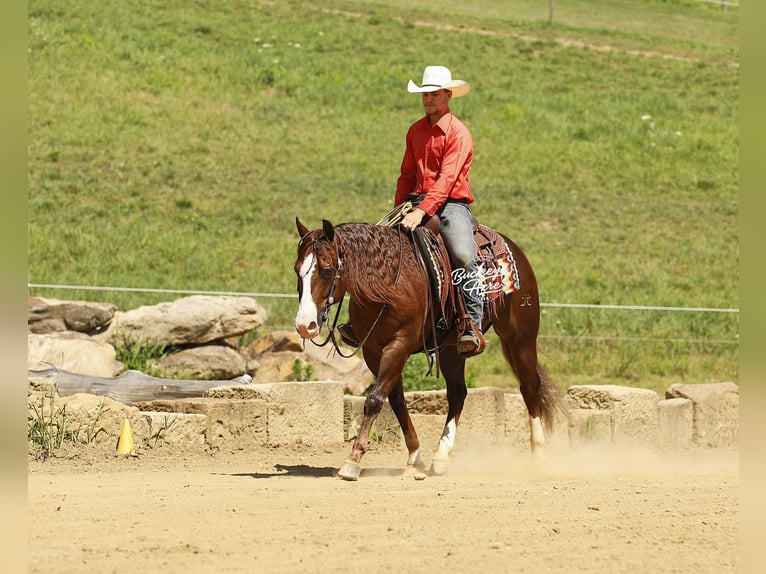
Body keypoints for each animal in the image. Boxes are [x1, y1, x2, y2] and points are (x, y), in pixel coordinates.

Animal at [294, 217, 564, 480]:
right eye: (297, 270)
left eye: (327, 270)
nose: (304, 325)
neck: (389, 282)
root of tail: (512, 248)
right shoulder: (373, 350)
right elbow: (396, 401)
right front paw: (415, 459)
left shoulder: (399, 344)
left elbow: (374, 399)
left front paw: (353, 460)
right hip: (452, 349)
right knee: (458, 393)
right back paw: (441, 457)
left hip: (521, 337)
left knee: (529, 386)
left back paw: (539, 455)